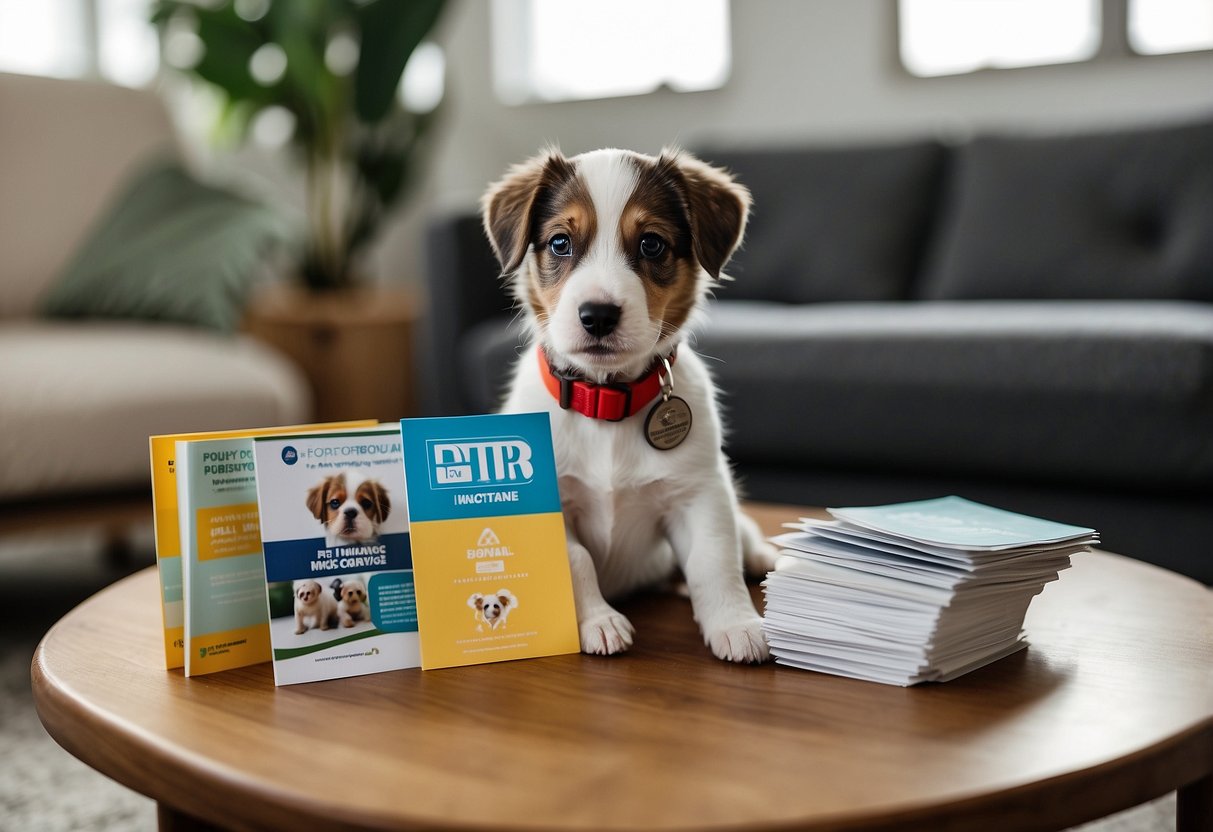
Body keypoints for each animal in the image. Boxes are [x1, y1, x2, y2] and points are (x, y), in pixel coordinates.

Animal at [482, 144, 776, 664]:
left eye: (652, 245)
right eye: (560, 243)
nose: (598, 315)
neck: (605, 400)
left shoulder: (699, 492)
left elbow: (714, 559)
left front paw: (735, 623)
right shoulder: (551, 509)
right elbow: (576, 562)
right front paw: (597, 621)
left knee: (740, 536)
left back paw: (761, 554)